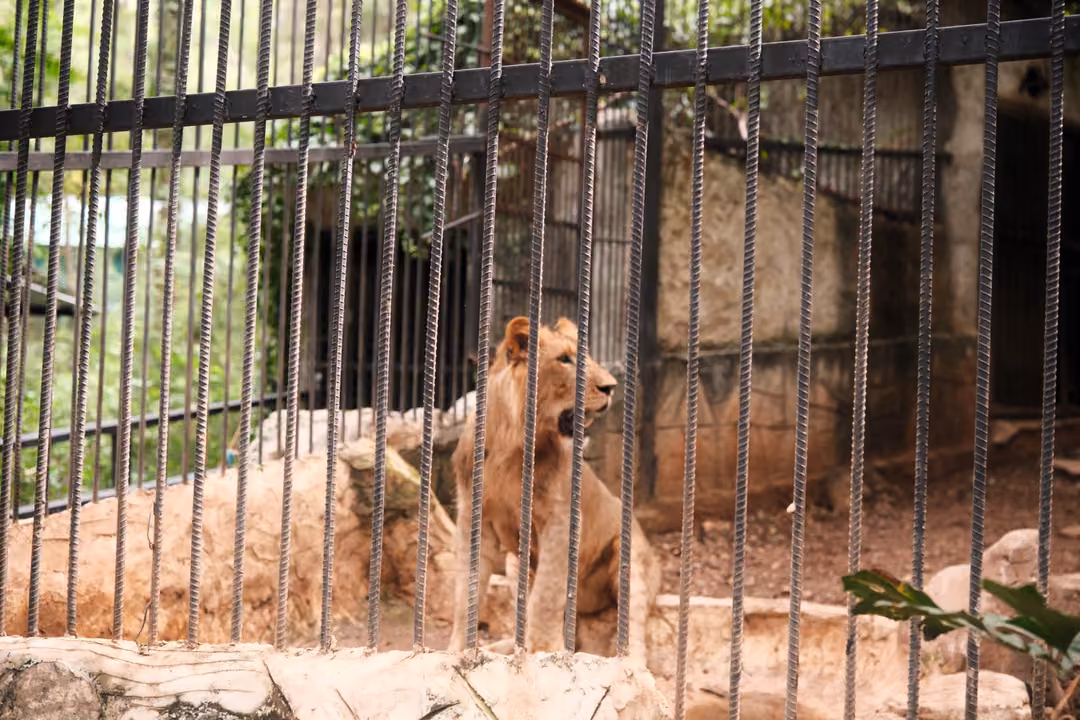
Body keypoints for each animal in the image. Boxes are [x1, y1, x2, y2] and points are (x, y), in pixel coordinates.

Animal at [446, 315, 661, 662]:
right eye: (564, 359)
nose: (611, 387)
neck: (510, 440)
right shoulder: (473, 518)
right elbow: (466, 589)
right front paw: (457, 651)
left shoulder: (559, 519)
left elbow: (546, 596)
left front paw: (544, 651)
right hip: (514, 562)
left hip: (631, 561)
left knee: (633, 633)